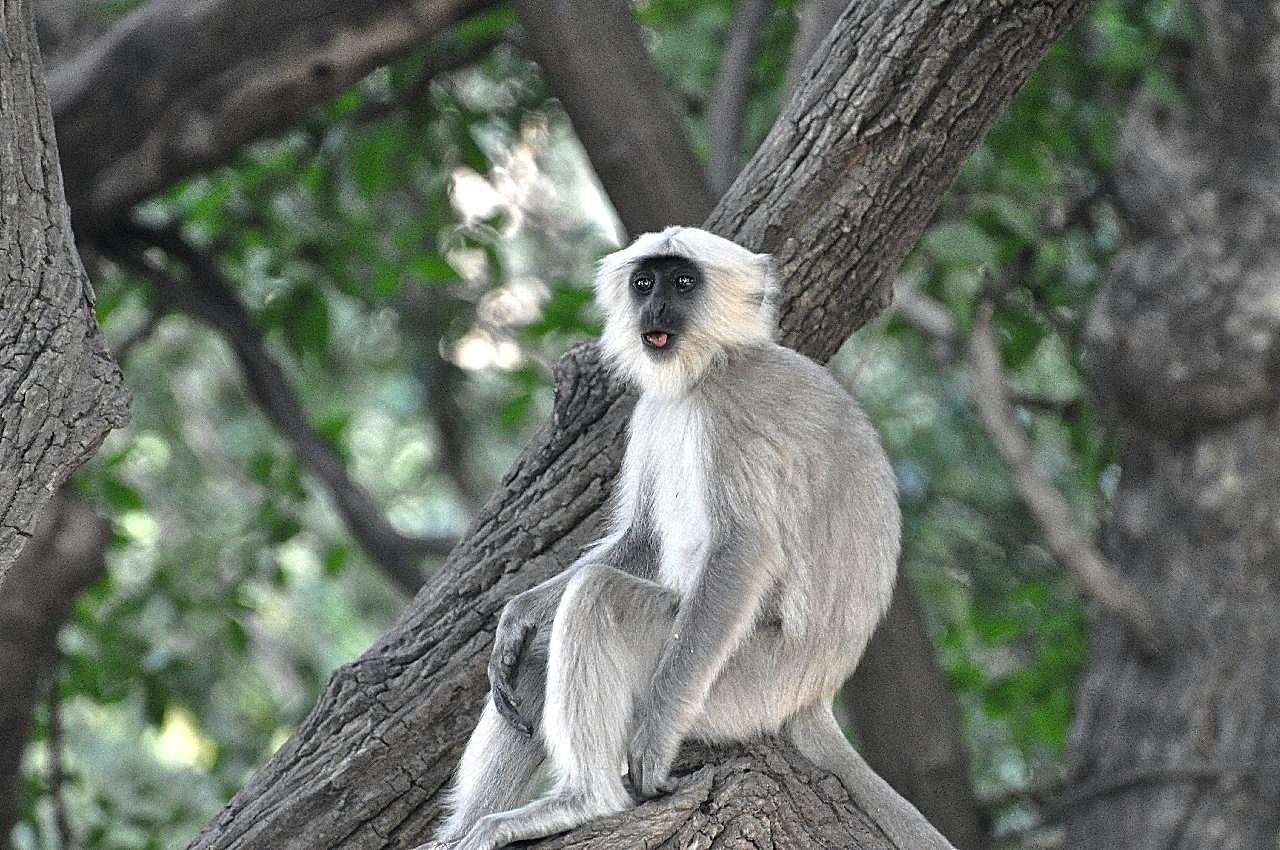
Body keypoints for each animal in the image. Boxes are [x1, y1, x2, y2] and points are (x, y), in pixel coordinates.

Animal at [419, 224, 901, 850]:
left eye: (684, 282)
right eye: (645, 283)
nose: (656, 309)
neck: (711, 368)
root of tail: (816, 692)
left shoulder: (730, 413)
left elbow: (743, 549)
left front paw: (650, 746)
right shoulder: (652, 409)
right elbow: (643, 541)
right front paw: (520, 611)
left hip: (742, 683)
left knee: (600, 596)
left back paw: (584, 801)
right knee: (539, 650)